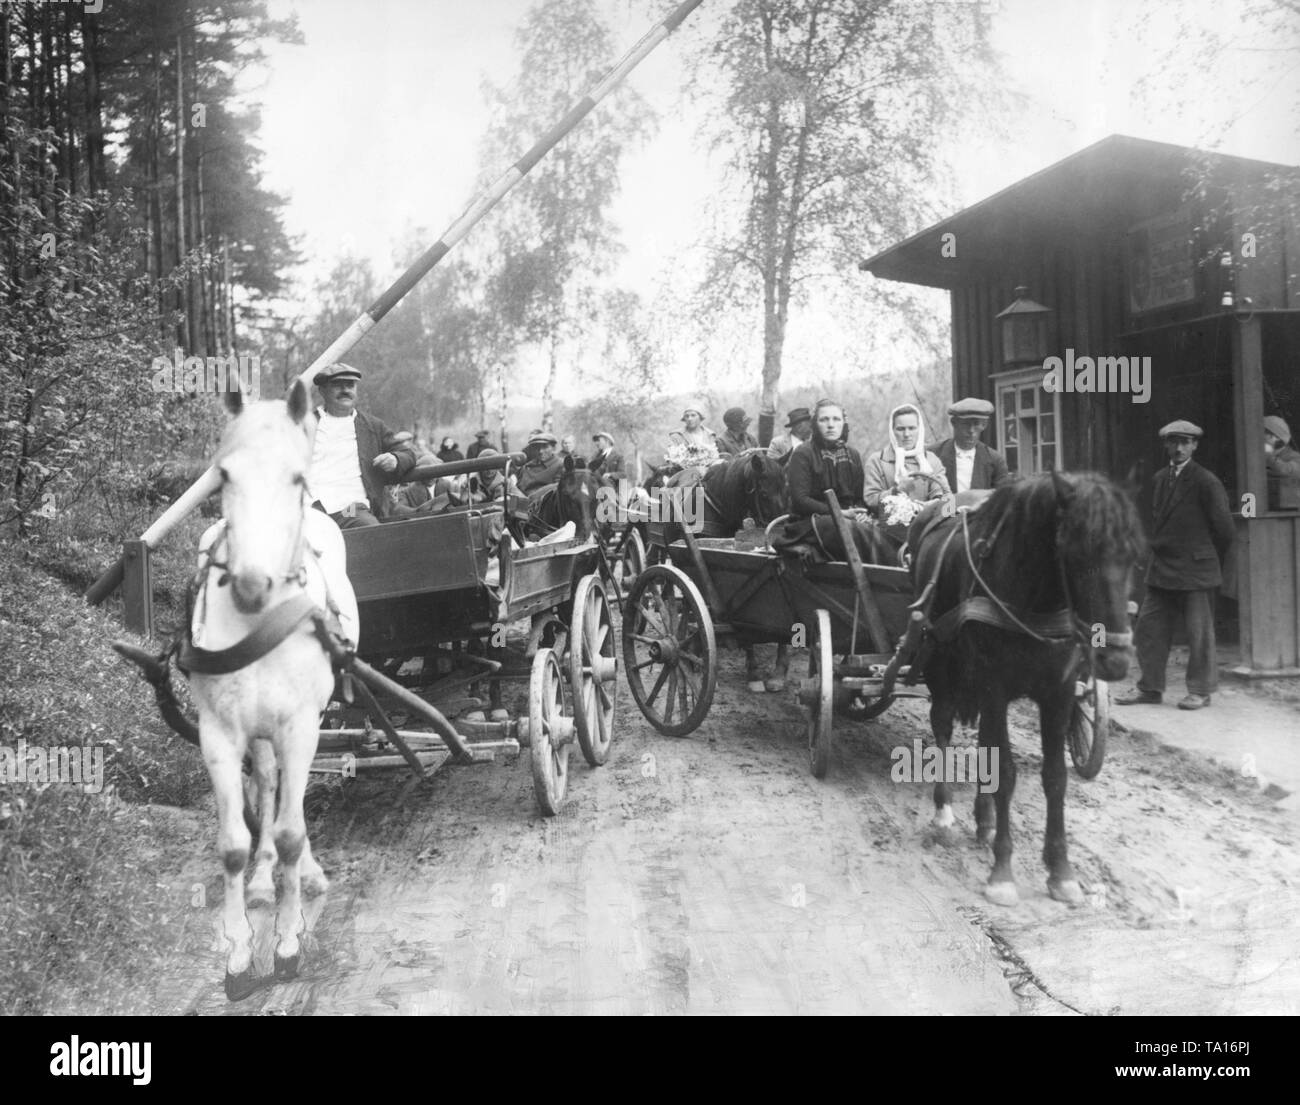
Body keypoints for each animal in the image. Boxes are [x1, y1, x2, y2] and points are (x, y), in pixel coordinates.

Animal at [188, 379, 356, 998]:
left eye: (297, 478)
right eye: (223, 476)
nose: (251, 584)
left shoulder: (301, 724)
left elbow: (289, 831)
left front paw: (286, 945)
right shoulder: (217, 733)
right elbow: (235, 845)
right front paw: (238, 956)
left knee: (292, 803)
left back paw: (302, 873)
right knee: (265, 780)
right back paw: (265, 880)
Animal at [909, 470, 1144, 904]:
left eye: (1134, 555)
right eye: (1075, 553)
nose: (1117, 660)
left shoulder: (1059, 692)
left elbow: (1055, 777)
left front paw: (1061, 871)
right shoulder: (996, 687)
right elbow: (1006, 773)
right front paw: (1002, 872)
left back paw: (983, 820)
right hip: (939, 661)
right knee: (943, 724)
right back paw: (945, 811)